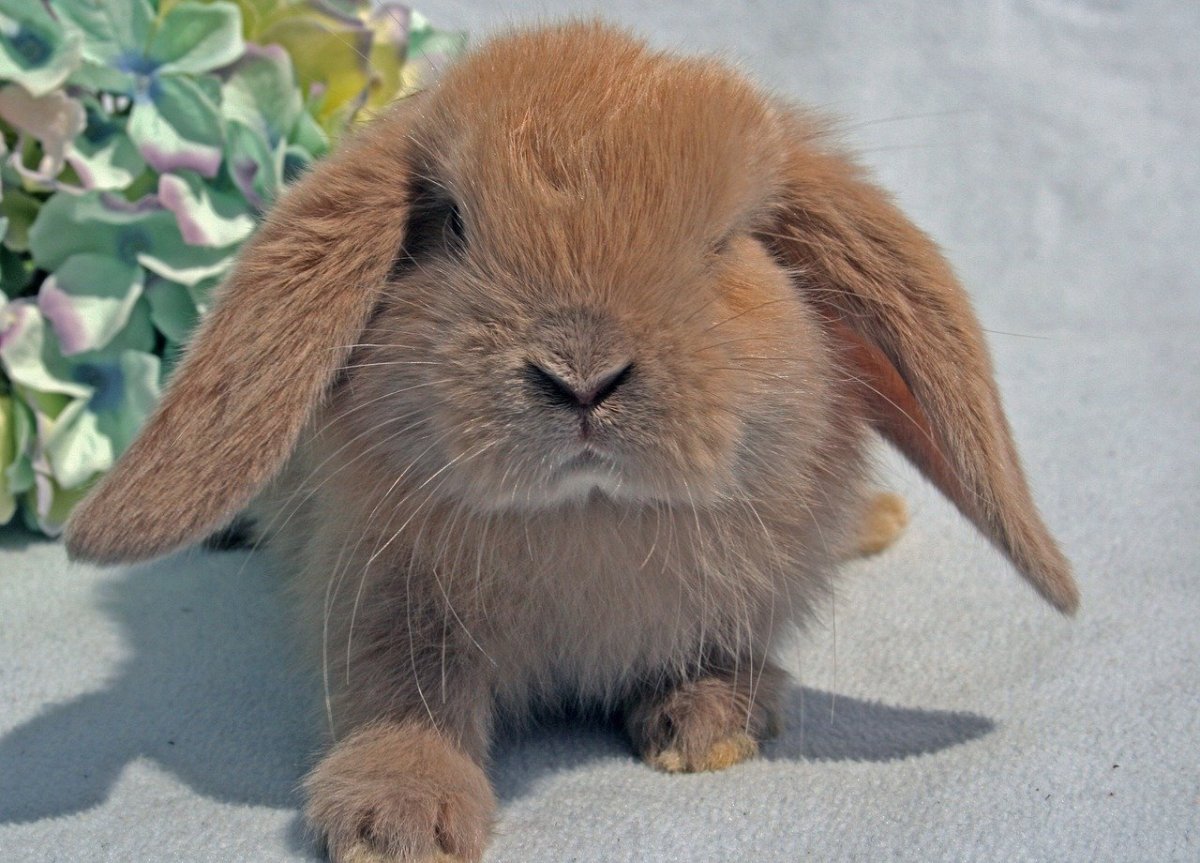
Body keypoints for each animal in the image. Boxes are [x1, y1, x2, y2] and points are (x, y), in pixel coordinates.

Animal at [64, 21, 1078, 863]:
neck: (586, 516)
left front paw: (709, 726)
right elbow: (402, 697)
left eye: (730, 242)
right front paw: (398, 819)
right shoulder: (379, 601)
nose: (581, 372)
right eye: (450, 224)